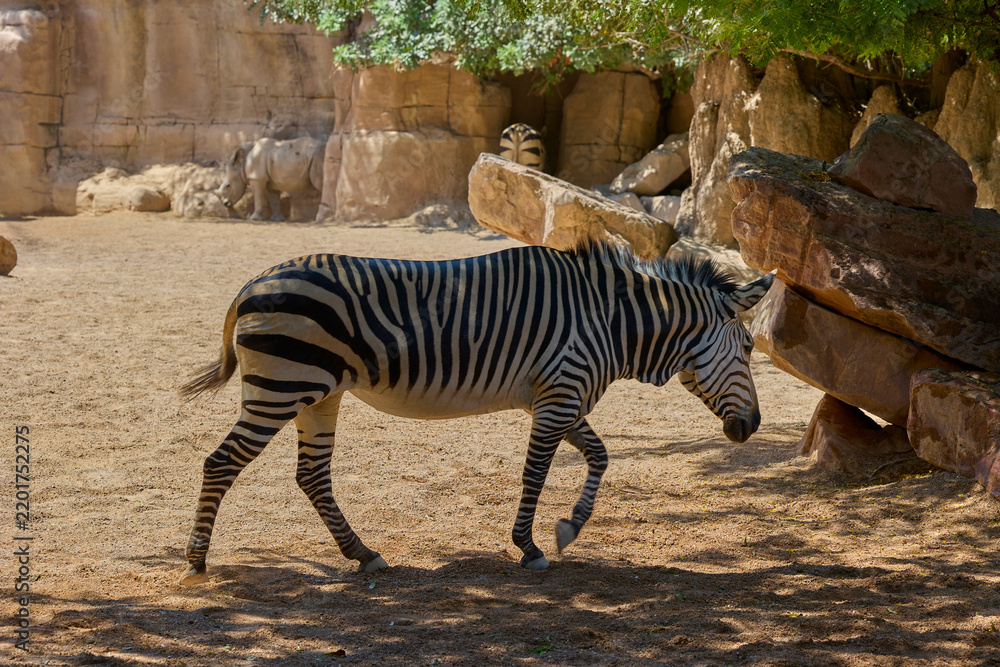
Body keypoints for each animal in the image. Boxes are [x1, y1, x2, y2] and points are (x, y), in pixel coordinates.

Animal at [177, 242, 774, 586]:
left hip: (318, 394)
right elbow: (536, 474)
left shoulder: (559, 395)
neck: (611, 318)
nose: (751, 428)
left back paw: (363, 554)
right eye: (748, 348)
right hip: (282, 387)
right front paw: (530, 547)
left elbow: (601, 457)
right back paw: (197, 562)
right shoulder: (560, 395)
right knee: (220, 464)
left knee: (311, 475)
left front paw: (568, 528)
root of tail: (254, 282)